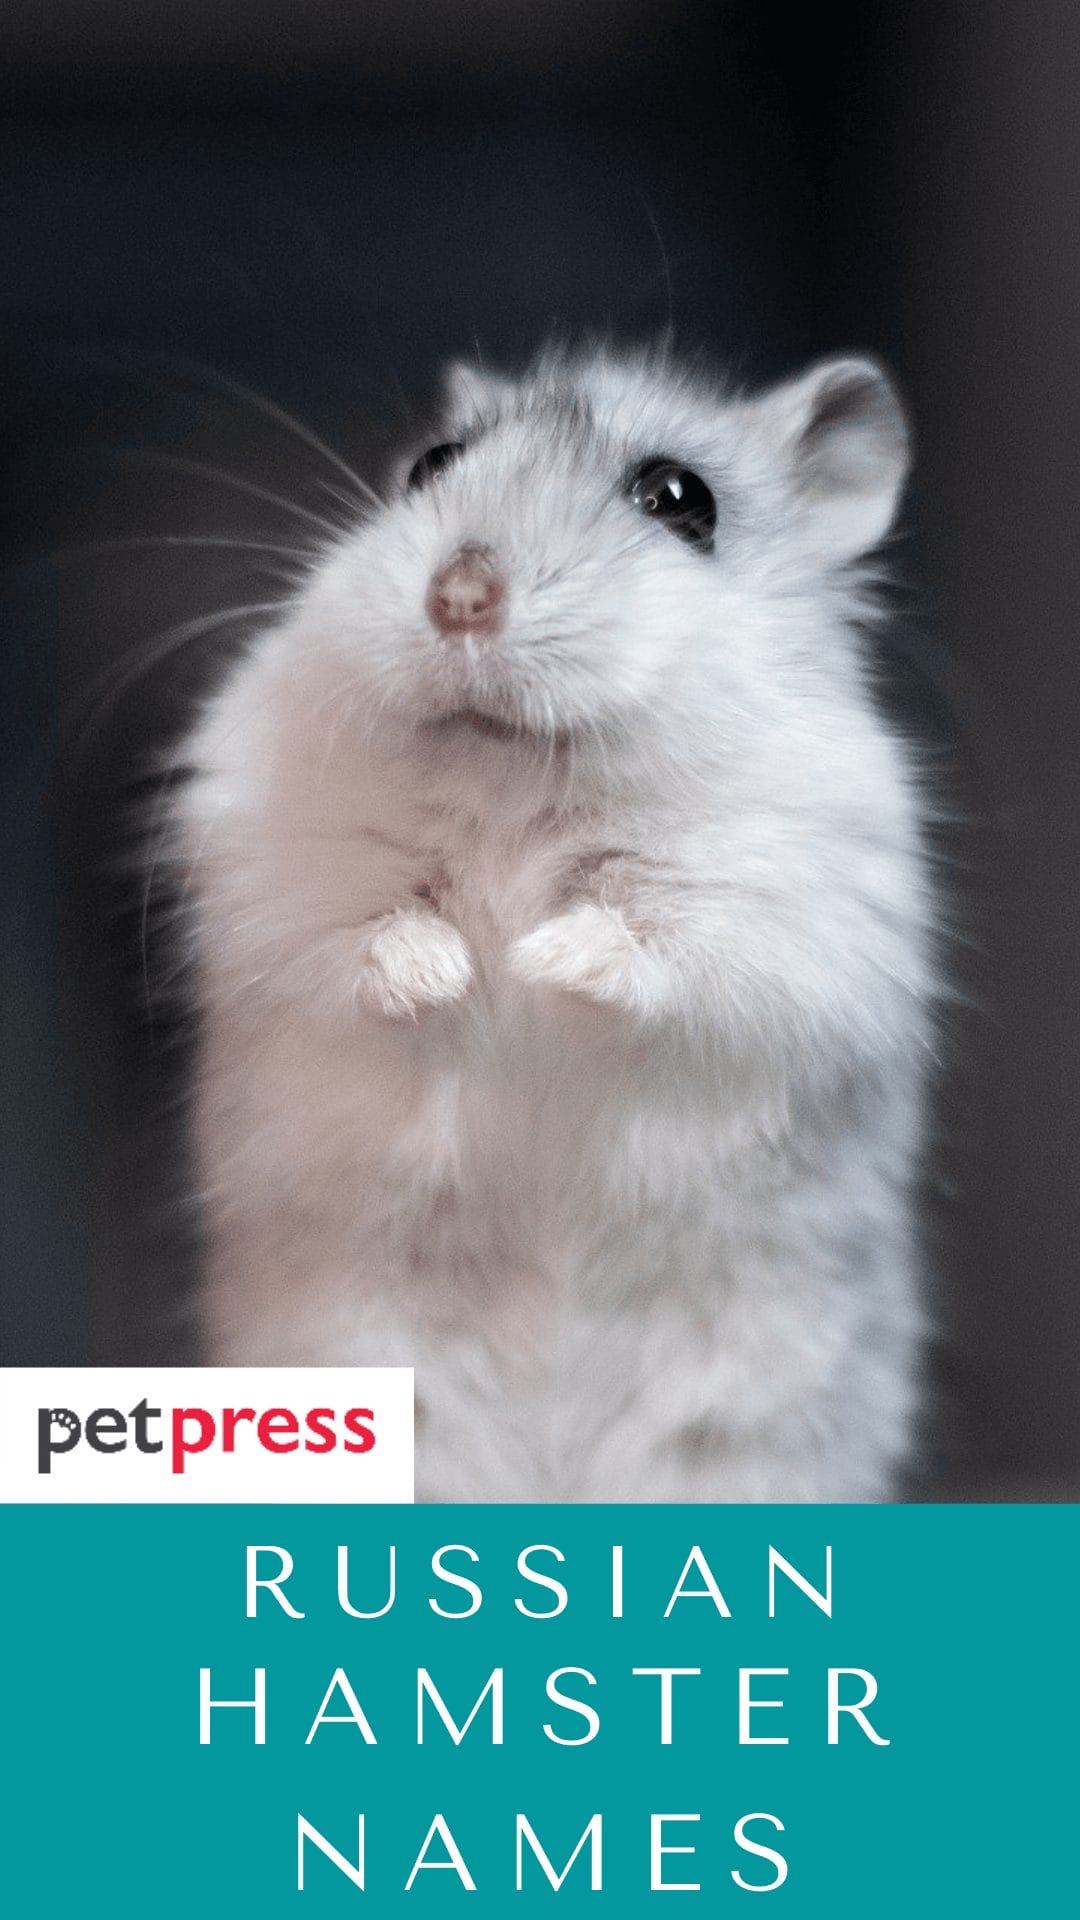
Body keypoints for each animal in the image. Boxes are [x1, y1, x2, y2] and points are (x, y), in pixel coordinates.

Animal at [173, 341, 936, 1502]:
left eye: (682, 500)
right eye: (431, 466)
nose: (460, 596)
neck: (514, 773)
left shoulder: (786, 916)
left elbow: (649, 944)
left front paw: (534, 955)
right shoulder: (277, 869)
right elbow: (362, 936)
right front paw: (453, 971)